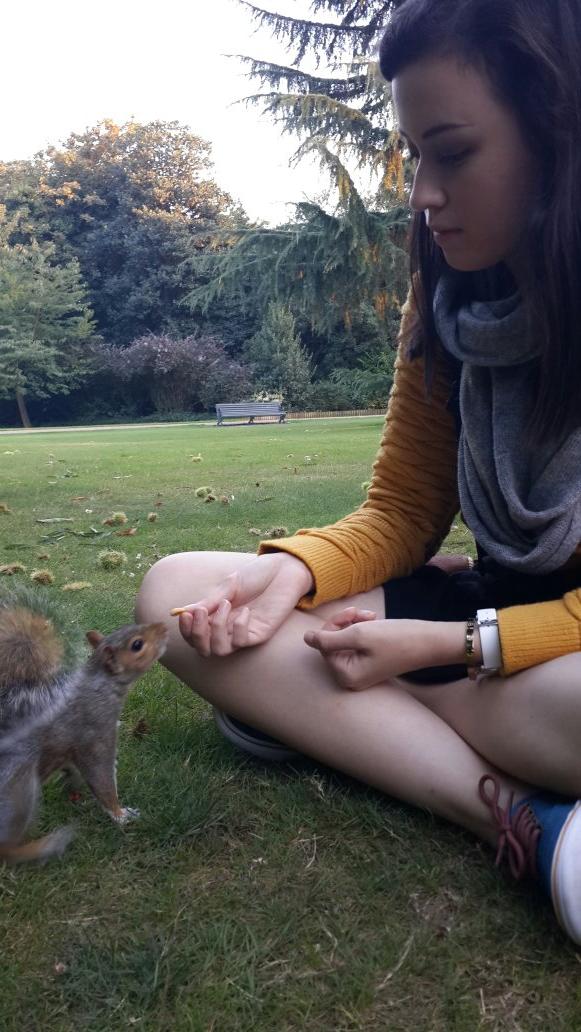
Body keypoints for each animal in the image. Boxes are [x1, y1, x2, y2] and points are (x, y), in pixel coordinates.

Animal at [0, 585, 168, 863]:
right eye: (137, 645)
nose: (165, 627)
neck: (100, 686)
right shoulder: (95, 733)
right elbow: (101, 779)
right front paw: (121, 815)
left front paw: (71, 782)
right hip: (18, 790)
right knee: (7, 848)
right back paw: (41, 847)